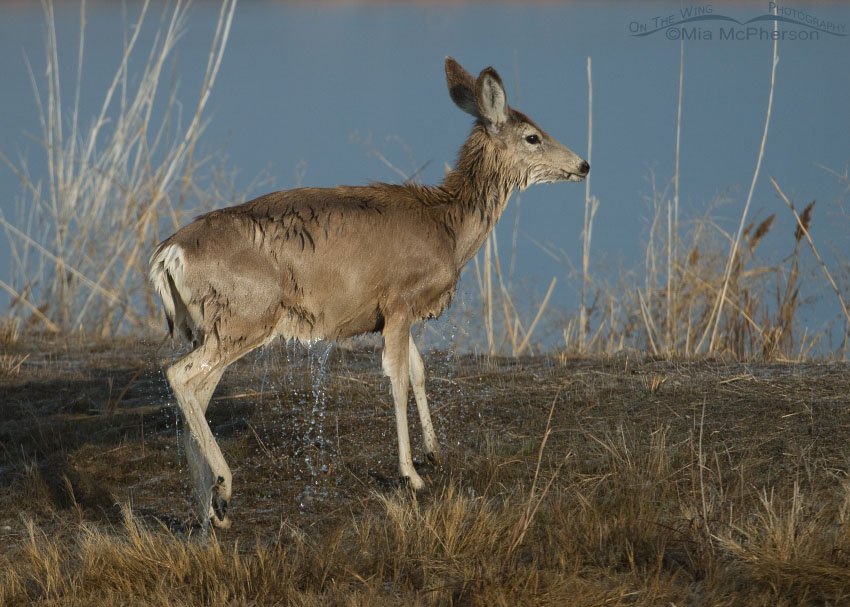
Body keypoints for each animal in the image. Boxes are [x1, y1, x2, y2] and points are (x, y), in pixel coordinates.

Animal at [150, 57, 589, 528]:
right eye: (533, 136)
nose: (584, 165)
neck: (448, 229)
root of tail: (168, 254)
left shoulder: (395, 313)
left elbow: (418, 370)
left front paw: (434, 452)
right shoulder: (398, 299)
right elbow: (397, 378)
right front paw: (411, 475)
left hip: (216, 324)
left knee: (199, 389)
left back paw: (209, 504)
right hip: (247, 314)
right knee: (181, 376)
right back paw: (223, 489)